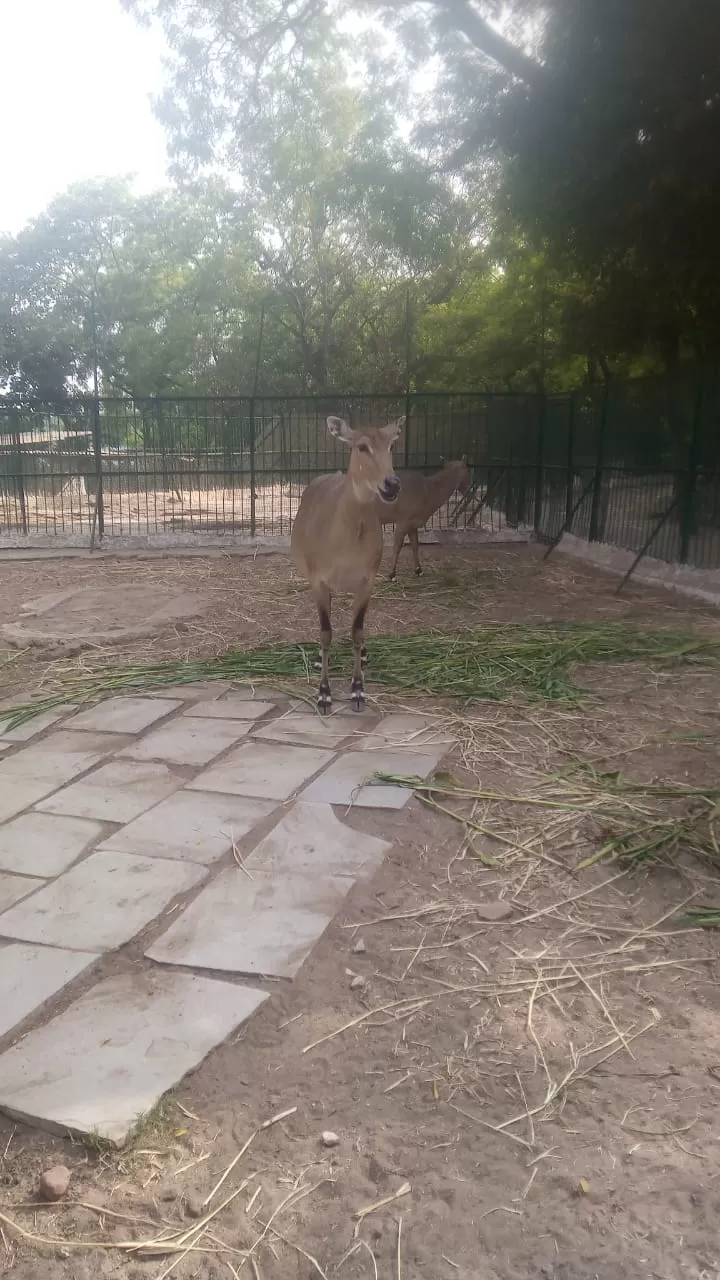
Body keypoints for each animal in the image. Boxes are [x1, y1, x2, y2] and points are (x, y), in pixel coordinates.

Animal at [292, 419, 404, 721]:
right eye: (362, 446)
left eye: (392, 445)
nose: (391, 484)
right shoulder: (318, 580)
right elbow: (326, 632)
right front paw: (324, 696)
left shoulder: (367, 580)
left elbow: (357, 630)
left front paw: (357, 691)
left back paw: (363, 655)